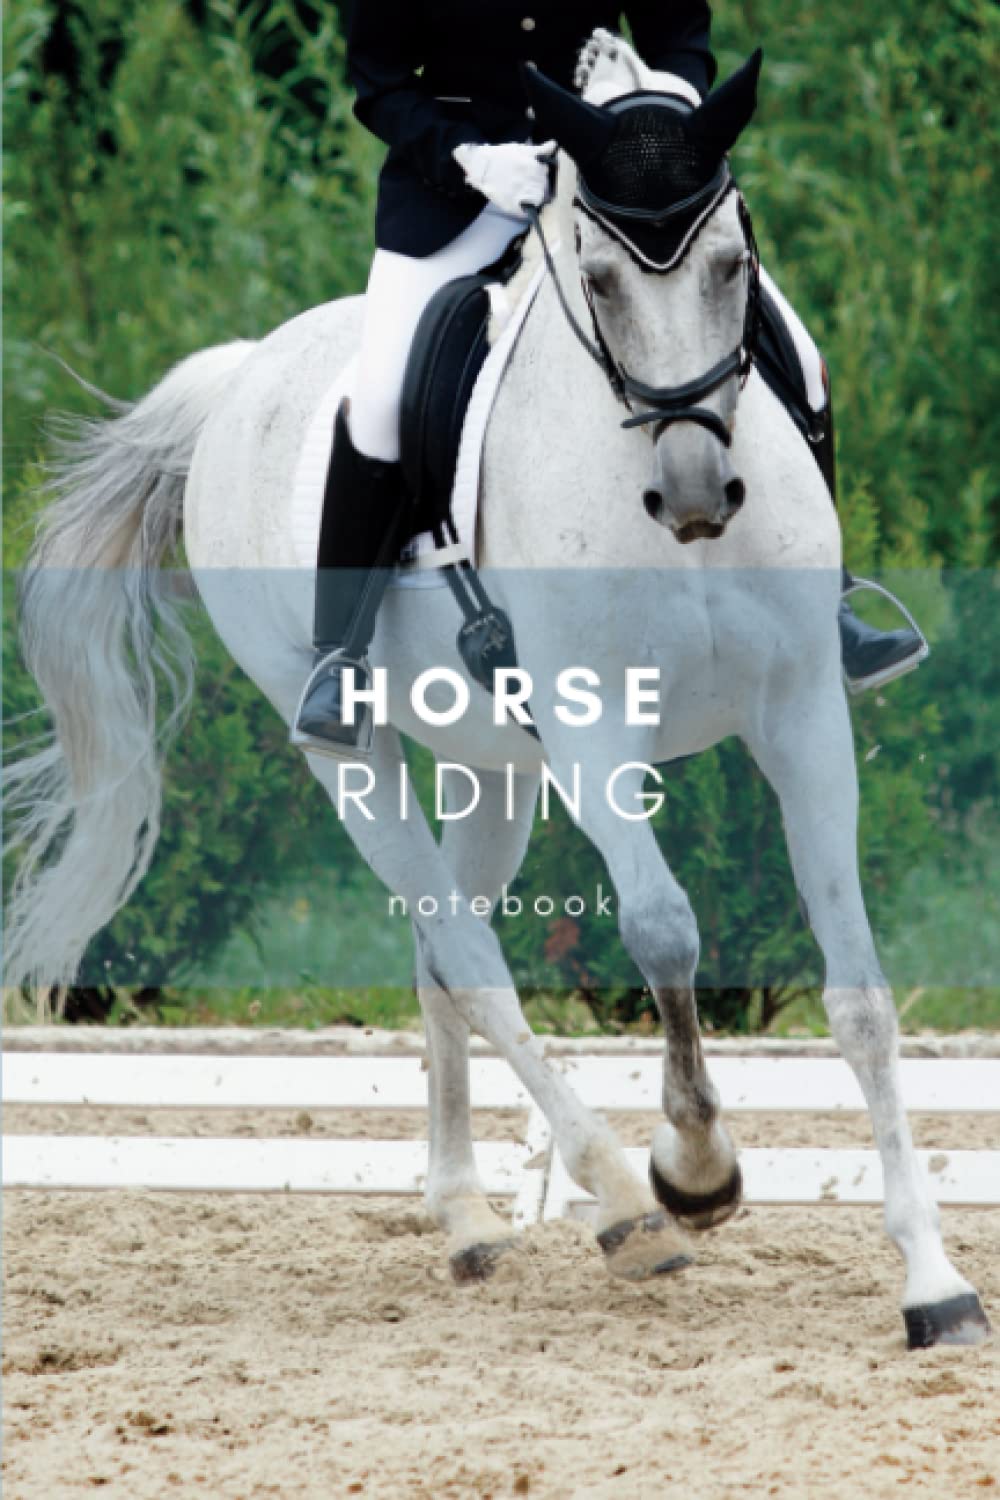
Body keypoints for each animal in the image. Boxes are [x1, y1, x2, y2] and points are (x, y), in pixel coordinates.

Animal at [4, 30, 989, 1347]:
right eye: (602, 280)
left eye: (733, 267)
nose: (695, 495)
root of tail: (239, 374)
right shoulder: (591, 732)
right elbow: (664, 928)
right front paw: (695, 1169)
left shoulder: (802, 720)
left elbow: (864, 997)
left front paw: (932, 1281)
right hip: (353, 753)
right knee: (466, 950)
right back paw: (623, 1205)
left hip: (488, 765)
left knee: (440, 954)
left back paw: (470, 1219)